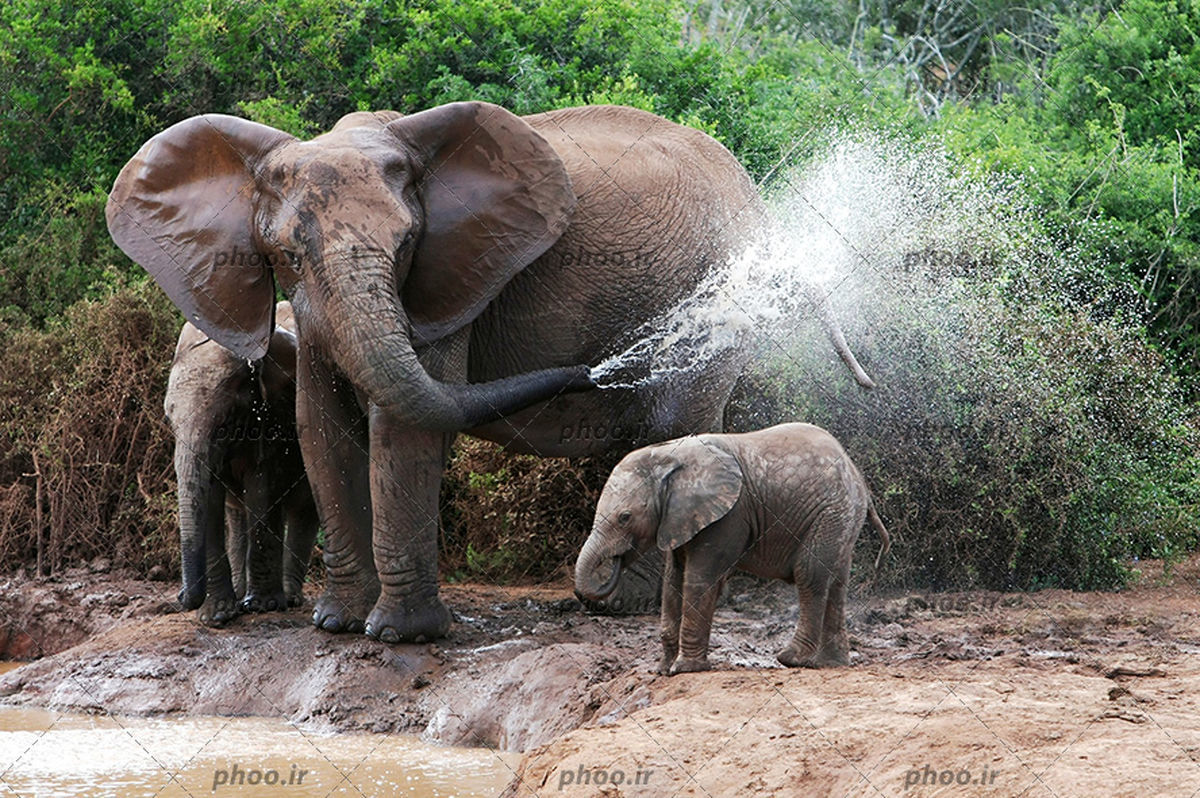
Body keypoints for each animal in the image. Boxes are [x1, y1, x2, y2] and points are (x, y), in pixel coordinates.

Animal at [108, 102, 873, 643]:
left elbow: (402, 426)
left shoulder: (447, 286)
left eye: (407, 245)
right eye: (287, 254)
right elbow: (319, 424)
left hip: (716, 296)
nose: (588, 369)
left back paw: (621, 603)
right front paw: (336, 625)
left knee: (674, 423)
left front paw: (400, 638)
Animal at [576, 420, 888, 676]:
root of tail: (858, 477)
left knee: (810, 574)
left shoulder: (729, 515)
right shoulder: (680, 518)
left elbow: (699, 579)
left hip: (830, 512)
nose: (615, 561)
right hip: (842, 517)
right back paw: (830, 663)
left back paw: (791, 659)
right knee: (836, 582)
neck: (669, 454)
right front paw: (663, 670)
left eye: (625, 517)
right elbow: (673, 581)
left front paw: (685, 669)